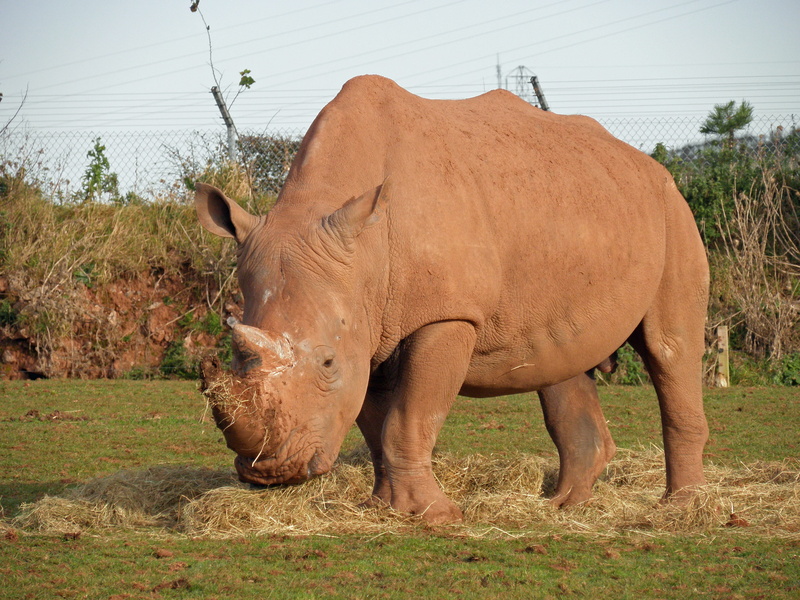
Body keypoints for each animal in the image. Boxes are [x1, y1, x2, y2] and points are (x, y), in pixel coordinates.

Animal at [197, 75, 709, 524]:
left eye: (327, 363)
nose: (270, 473)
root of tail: (652, 168)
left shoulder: (445, 316)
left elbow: (408, 418)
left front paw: (435, 517)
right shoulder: (368, 326)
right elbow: (376, 423)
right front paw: (382, 508)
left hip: (672, 211)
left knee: (671, 350)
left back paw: (679, 512)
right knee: (563, 363)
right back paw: (565, 509)